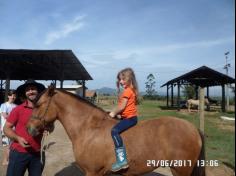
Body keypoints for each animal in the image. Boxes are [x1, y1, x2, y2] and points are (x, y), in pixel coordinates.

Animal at [26, 86, 206, 176]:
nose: (29, 129)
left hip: (180, 170)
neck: (89, 128)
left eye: (38, 104)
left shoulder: (92, 172)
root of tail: (193, 129)